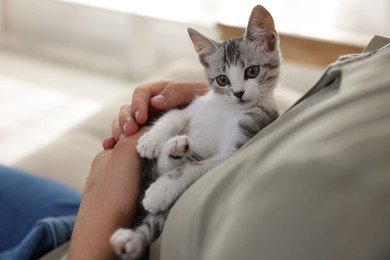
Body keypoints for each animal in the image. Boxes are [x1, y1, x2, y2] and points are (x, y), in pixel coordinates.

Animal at [110, 5, 280, 258]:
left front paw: (160, 191)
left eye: (252, 71)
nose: (239, 93)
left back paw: (131, 240)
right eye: (222, 80)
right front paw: (151, 141)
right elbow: (173, 117)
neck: (227, 109)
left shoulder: (240, 142)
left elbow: (193, 168)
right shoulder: (191, 108)